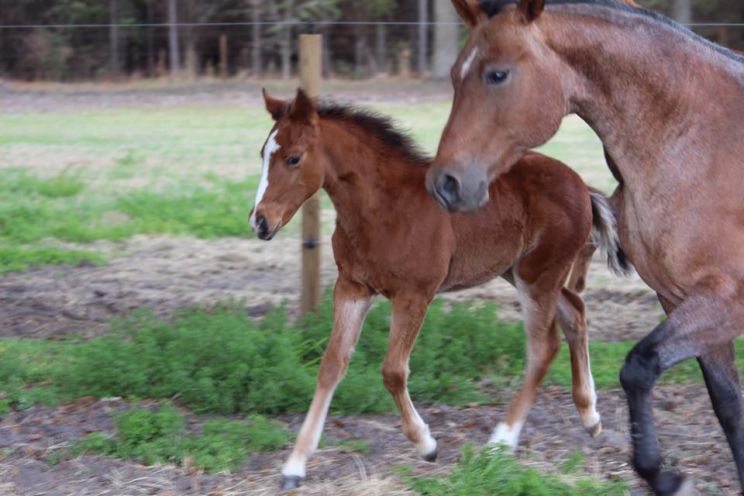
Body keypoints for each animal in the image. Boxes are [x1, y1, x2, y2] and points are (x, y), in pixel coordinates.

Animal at [251, 89, 628, 488]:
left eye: (293, 157)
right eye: (263, 154)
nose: (259, 222)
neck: (382, 206)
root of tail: (581, 185)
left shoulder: (414, 294)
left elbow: (393, 370)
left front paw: (426, 444)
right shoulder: (352, 288)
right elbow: (331, 364)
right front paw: (295, 464)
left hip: (537, 276)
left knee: (543, 347)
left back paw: (501, 440)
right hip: (520, 272)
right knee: (575, 311)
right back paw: (590, 415)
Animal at [424, 0, 744, 492]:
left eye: (497, 74)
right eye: (457, 74)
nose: (446, 184)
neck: (705, 147)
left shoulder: (726, 301)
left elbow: (638, 367)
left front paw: (664, 476)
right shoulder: (681, 300)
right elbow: (728, 407)